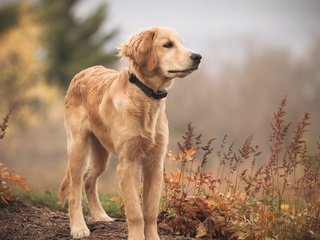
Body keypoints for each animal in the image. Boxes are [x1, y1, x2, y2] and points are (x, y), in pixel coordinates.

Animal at [58, 25, 201, 239]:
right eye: (167, 45)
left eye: (181, 43)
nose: (198, 57)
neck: (147, 99)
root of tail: (83, 72)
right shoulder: (128, 164)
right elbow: (135, 212)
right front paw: (137, 236)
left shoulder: (155, 164)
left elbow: (150, 211)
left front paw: (153, 237)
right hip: (78, 146)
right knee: (75, 189)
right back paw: (79, 227)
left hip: (101, 154)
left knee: (89, 179)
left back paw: (100, 215)